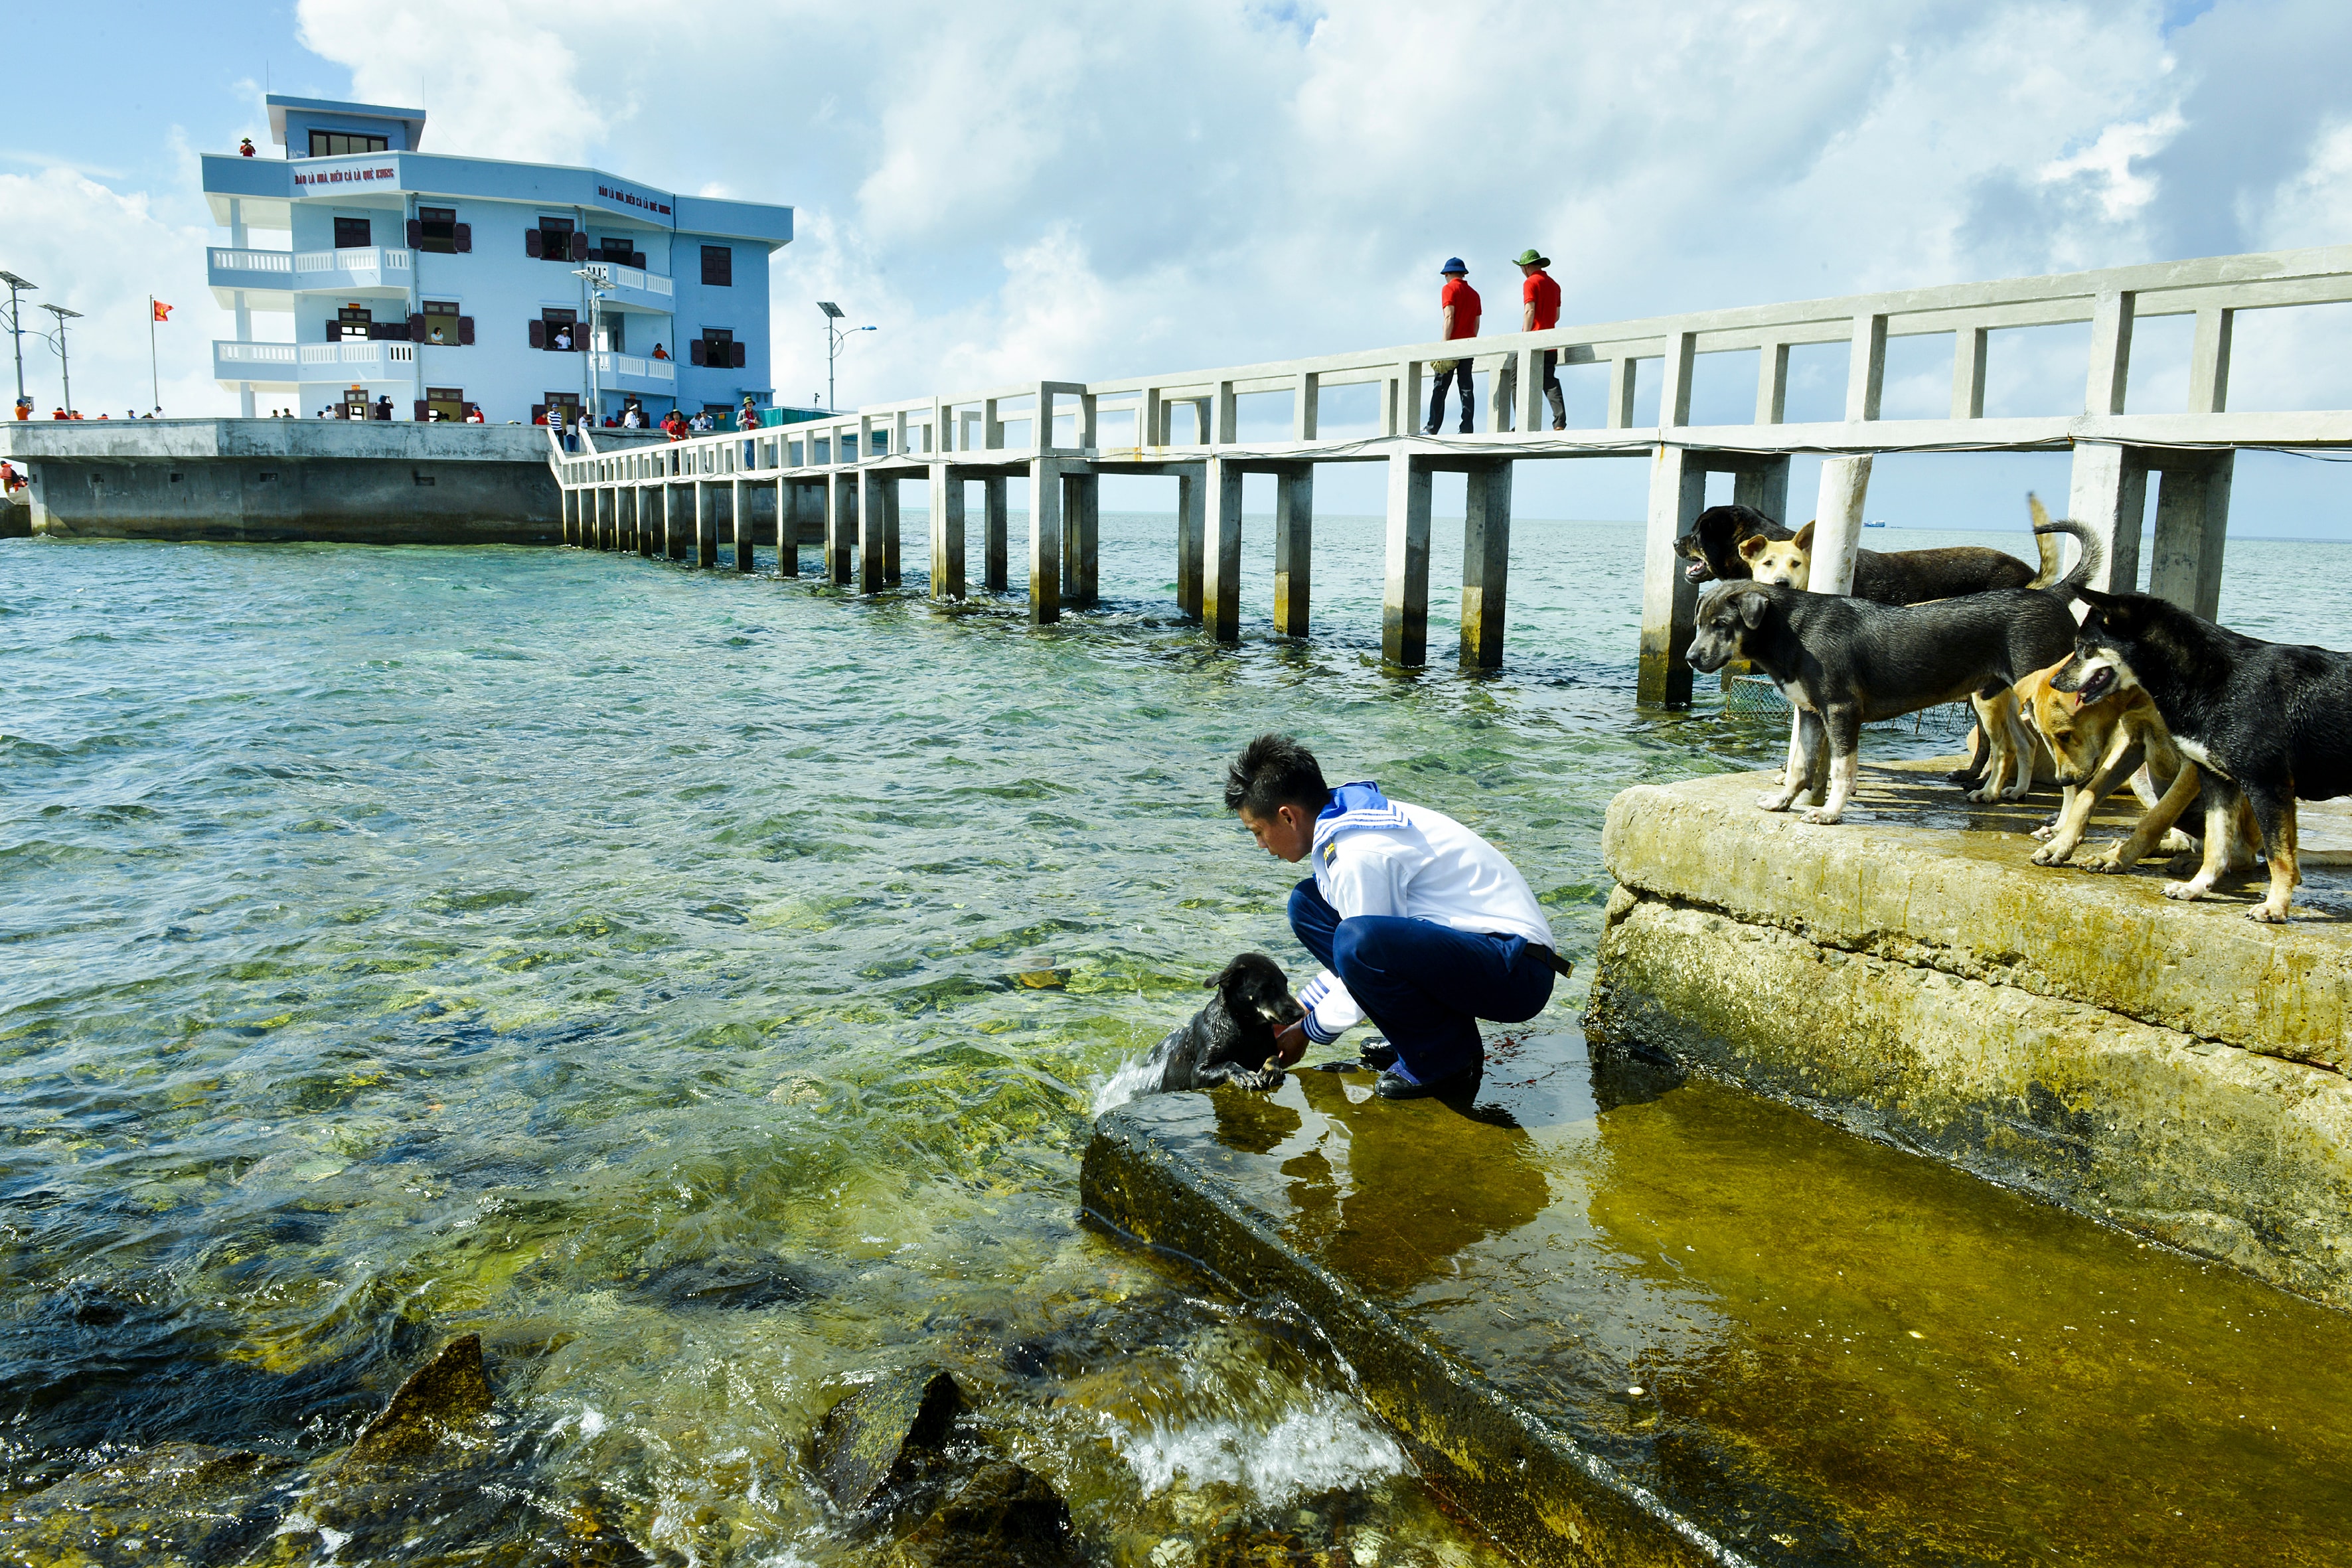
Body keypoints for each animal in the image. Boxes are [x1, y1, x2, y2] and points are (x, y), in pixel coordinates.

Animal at [1138, 949, 1307, 1100]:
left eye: (1285, 984)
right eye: (1267, 987)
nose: (1301, 1013)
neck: (1248, 1030)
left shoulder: (1270, 1049)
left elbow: (1273, 1058)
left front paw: (1272, 1069)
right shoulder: (1198, 1073)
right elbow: (1227, 1064)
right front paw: (1243, 1074)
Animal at [1684, 522, 2107, 827]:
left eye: (1722, 625)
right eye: (1699, 623)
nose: (1690, 659)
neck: (1793, 631)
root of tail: (2051, 594)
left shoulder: (1842, 712)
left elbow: (1841, 769)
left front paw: (1830, 812)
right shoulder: (1810, 713)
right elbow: (1800, 767)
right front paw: (1782, 802)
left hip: (2039, 703)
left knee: (2046, 760)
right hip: (2005, 697)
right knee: (2023, 744)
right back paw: (2011, 793)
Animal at [2060, 594, 2352, 926]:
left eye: (2084, 646)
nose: (2056, 680)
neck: (2213, 677)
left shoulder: (2268, 787)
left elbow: (2279, 858)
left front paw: (2276, 908)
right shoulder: (2218, 782)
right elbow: (2216, 847)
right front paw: (2196, 888)